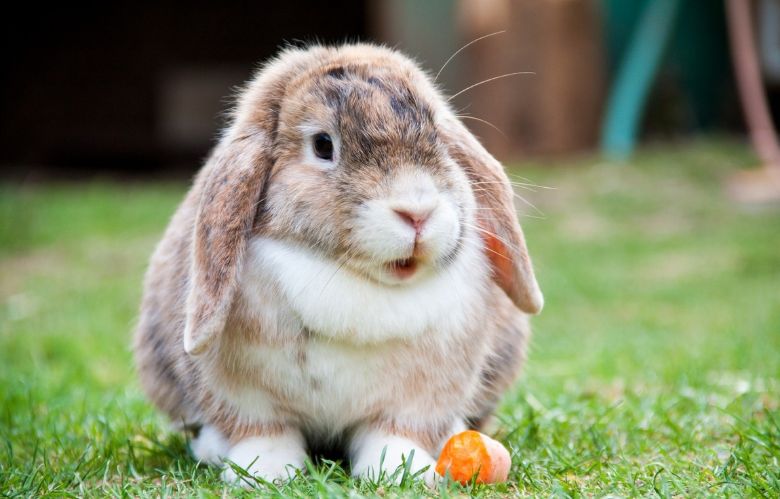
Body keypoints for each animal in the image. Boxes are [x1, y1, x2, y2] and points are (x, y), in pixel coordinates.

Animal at [134, 43, 543, 487]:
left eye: (437, 134)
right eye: (323, 145)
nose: (417, 212)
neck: (354, 279)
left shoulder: (417, 399)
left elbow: (394, 433)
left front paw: (402, 472)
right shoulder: (245, 397)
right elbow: (264, 432)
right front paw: (265, 472)